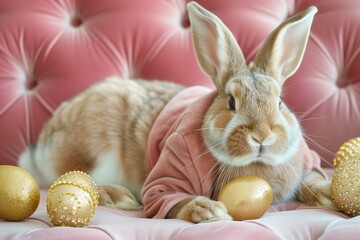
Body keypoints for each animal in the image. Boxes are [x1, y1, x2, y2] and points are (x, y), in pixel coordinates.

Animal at [18, 1, 336, 223]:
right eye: (231, 102)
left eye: (280, 101)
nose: (262, 136)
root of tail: (39, 147)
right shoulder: (169, 170)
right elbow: (168, 198)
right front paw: (207, 210)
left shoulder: (307, 163)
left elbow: (313, 179)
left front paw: (330, 195)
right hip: (93, 144)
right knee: (72, 176)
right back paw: (118, 196)